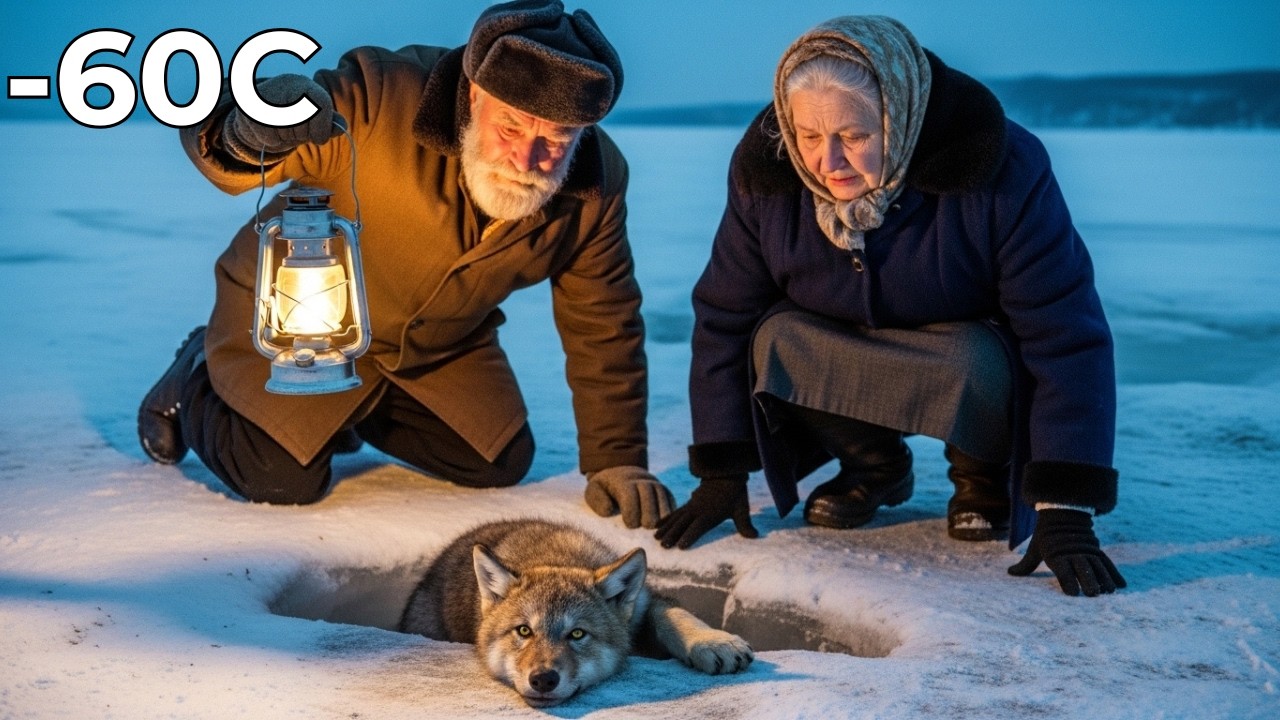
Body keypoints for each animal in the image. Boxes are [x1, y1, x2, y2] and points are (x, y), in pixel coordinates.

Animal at [398, 519, 753, 706]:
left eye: (577, 634)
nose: (543, 679)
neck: (555, 555)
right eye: (524, 630)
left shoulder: (643, 604)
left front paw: (715, 643)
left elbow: (672, 616)